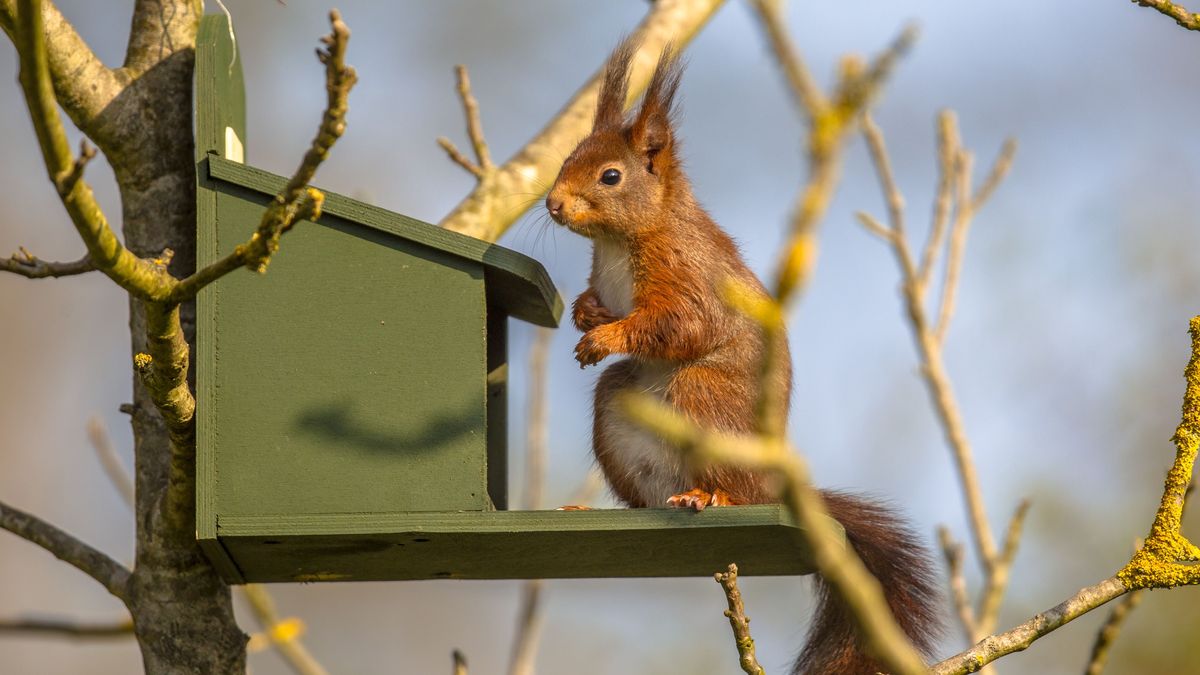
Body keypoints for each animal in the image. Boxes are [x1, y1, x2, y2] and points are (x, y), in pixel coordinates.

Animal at [547, 40, 945, 667]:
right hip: (619, 412)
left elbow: (680, 326)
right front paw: (587, 316)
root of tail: (770, 487)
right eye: (568, 158)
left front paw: (604, 339)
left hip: (703, 398)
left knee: (725, 480)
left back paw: (708, 495)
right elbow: (604, 304)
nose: (553, 204)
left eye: (610, 176)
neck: (620, 240)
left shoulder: (689, 277)